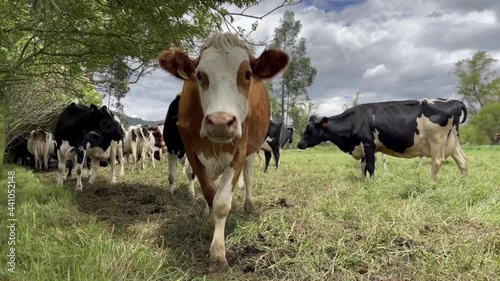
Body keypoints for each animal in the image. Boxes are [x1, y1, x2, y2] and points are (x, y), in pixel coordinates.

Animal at [156, 32, 290, 272]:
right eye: (200, 75)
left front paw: (218, 252)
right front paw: (210, 220)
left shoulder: (239, 151)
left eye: (247, 74)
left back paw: (248, 205)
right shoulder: (191, 152)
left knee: (248, 177)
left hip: (252, 150)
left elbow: (221, 202)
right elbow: (210, 192)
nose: (220, 122)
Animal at [298, 98, 466, 179]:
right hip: (453, 141)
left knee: (437, 161)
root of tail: (455, 101)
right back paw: (461, 181)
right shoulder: (366, 147)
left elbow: (371, 166)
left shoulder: (368, 144)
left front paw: (371, 183)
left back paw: (429, 181)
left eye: (310, 129)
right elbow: (363, 166)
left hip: (437, 140)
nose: (299, 143)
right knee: (462, 160)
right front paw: (363, 182)